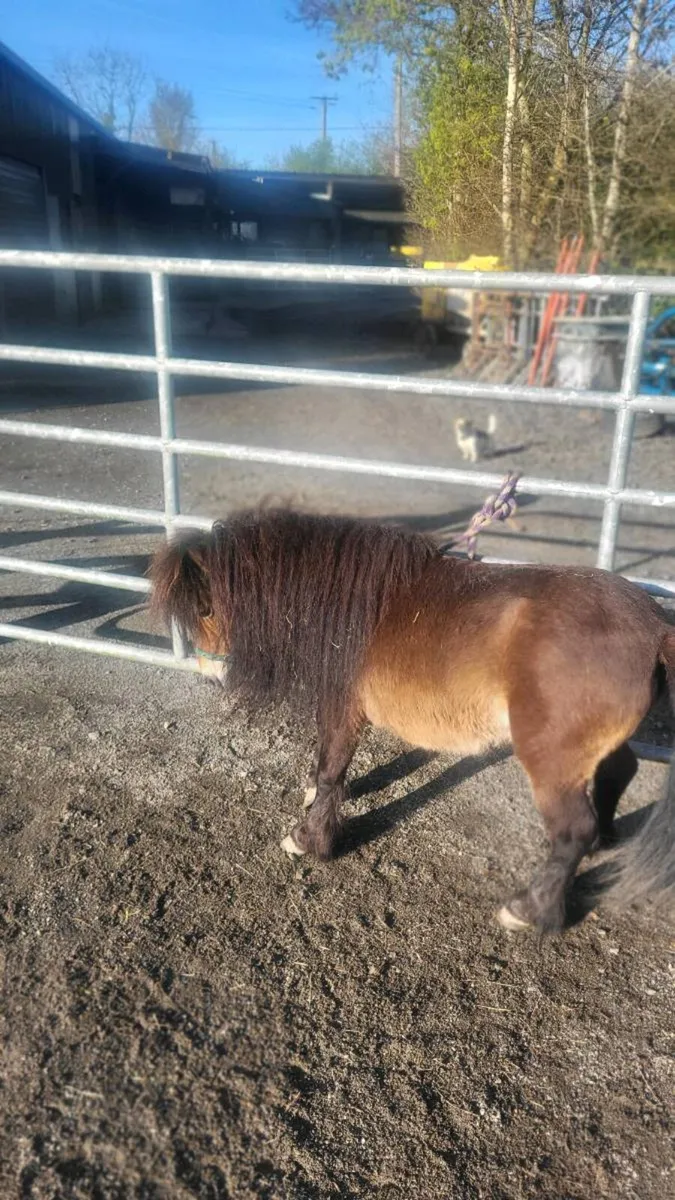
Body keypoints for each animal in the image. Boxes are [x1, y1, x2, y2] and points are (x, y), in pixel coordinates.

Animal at [150, 507, 675, 933]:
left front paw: (310, 839)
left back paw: (528, 910)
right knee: (619, 772)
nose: (209, 672)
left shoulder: (342, 707)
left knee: (572, 831)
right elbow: (328, 767)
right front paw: (319, 799)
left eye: (205, 605)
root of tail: (655, 627)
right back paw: (606, 839)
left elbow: (331, 766)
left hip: (549, 758)